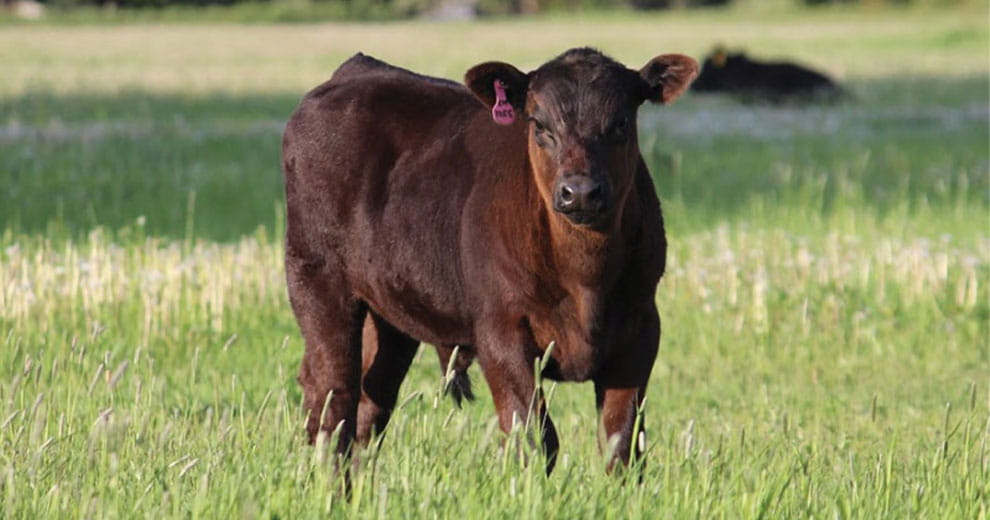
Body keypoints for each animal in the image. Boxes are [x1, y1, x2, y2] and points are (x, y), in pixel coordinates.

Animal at [281, 47, 698, 475]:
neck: (586, 281)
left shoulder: (640, 328)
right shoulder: (501, 330)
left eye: (621, 123)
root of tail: (356, 69)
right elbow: (534, 435)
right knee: (333, 395)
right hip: (315, 278)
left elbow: (622, 440)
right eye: (538, 123)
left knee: (369, 398)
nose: (580, 192)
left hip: (389, 312)